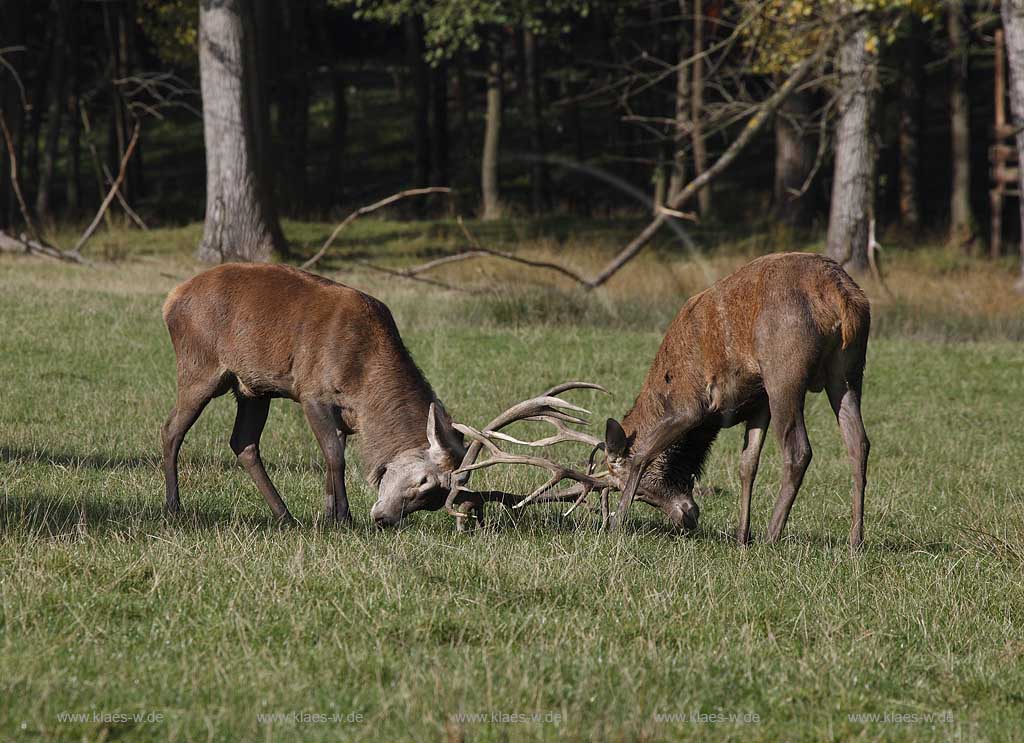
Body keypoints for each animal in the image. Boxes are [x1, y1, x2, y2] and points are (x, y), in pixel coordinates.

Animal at [158, 264, 468, 528]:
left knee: (243, 442)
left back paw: (285, 515)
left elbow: (333, 455)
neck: (364, 384)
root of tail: (171, 300)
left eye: (435, 500)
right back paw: (174, 506)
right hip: (199, 368)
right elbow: (335, 455)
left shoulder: (342, 414)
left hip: (254, 389)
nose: (385, 519)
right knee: (171, 428)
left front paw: (329, 514)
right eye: (424, 481)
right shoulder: (313, 393)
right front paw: (344, 518)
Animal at [598, 252, 872, 548]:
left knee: (799, 450)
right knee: (859, 443)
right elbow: (747, 464)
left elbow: (644, 452)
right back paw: (855, 539)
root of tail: (841, 295)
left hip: (784, 373)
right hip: (849, 371)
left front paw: (617, 522)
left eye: (637, 491)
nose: (686, 519)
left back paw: (772, 535)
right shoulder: (758, 403)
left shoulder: (690, 405)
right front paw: (742, 535)